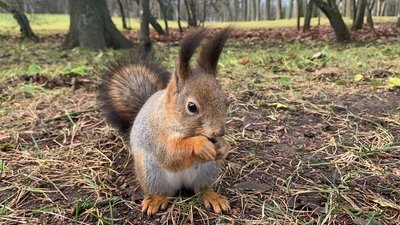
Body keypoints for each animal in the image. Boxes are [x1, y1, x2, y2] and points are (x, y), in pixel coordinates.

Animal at [97, 28, 233, 216]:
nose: (219, 132)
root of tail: (182, 184)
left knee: (201, 189)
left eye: (226, 101)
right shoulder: (157, 133)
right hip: (151, 173)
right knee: (164, 191)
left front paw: (224, 145)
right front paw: (200, 144)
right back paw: (157, 199)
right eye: (191, 107)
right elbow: (170, 154)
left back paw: (212, 196)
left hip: (208, 169)